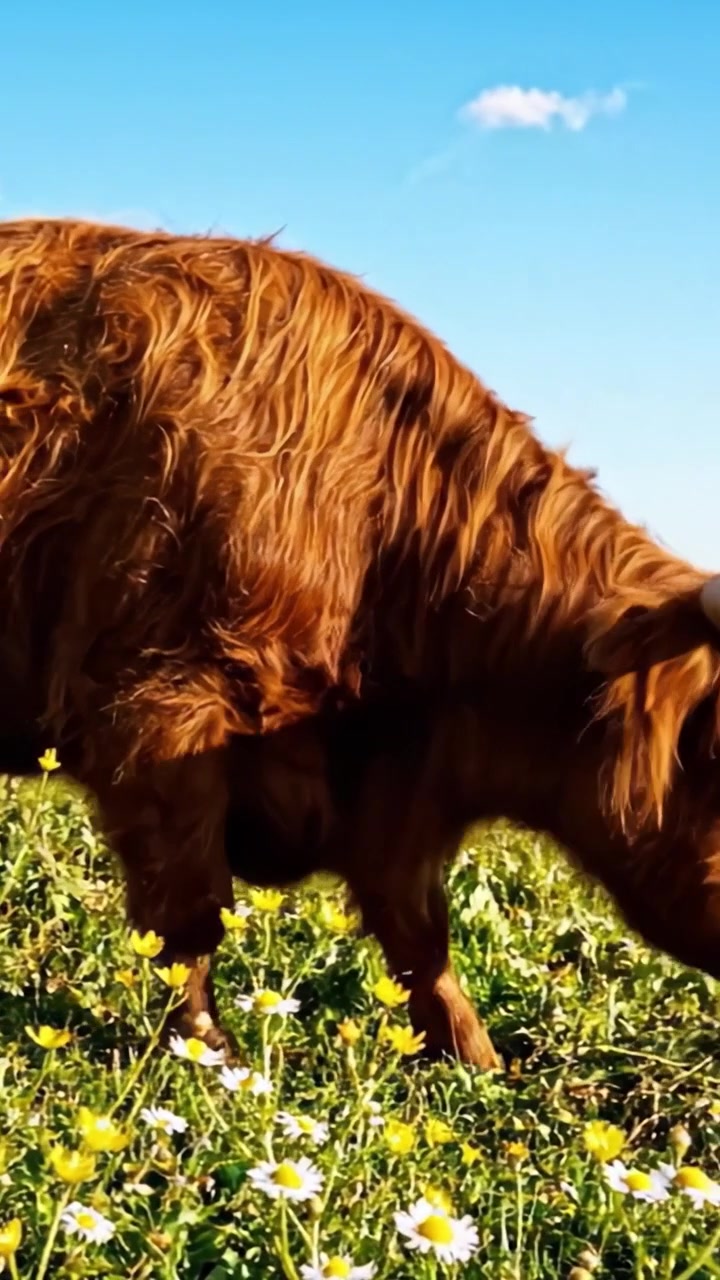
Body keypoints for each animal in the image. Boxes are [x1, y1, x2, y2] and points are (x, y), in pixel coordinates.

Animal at [1, 215, 719, 1070]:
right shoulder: (160, 711)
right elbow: (193, 912)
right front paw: (210, 1056)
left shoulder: (395, 784)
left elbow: (416, 933)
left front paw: (475, 1062)